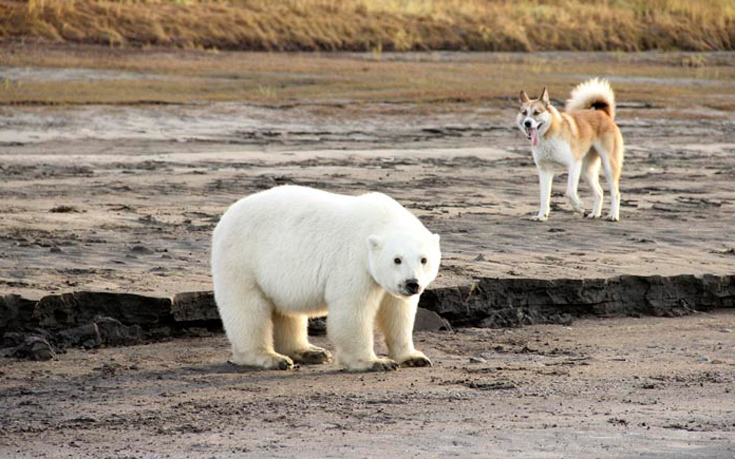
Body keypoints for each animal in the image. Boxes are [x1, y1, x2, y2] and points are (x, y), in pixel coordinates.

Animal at [213, 185, 442, 372]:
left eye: (424, 259)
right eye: (397, 259)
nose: (412, 284)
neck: (380, 221)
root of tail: (227, 215)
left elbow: (398, 312)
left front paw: (414, 357)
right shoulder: (354, 262)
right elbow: (352, 311)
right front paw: (375, 362)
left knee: (286, 311)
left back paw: (311, 352)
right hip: (241, 259)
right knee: (247, 309)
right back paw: (271, 358)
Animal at [516, 78, 628, 222]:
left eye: (536, 112)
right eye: (524, 113)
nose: (527, 123)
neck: (548, 134)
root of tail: (603, 114)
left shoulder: (574, 164)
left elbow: (569, 191)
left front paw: (578, 207)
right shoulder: (545, 170)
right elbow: (544, 197)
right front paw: (542, 216)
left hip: (608, 166)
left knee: (616, 193)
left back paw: (613, 215)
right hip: (586, 172)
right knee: (599, 192)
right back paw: (595, 213)